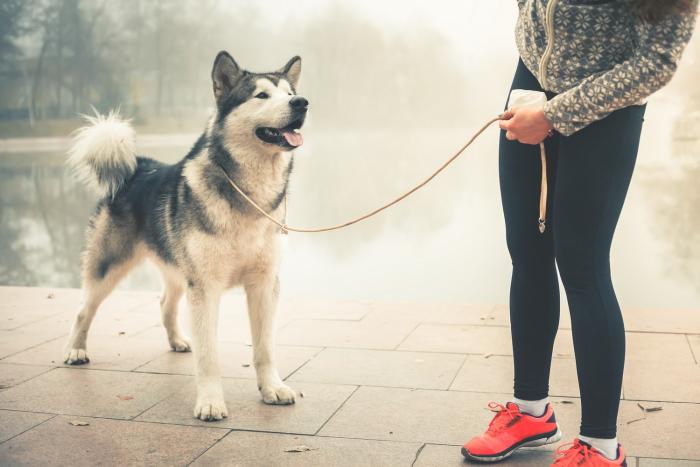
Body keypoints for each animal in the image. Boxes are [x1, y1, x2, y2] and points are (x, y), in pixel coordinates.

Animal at [65, 50, 306, 420]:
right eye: (262, 95)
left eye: (290, 92)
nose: (302, 103)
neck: (249, 196)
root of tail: (138, 165)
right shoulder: (205, 287)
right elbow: (209, 356)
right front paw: (210, 401)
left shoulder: (264, 284)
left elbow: (264, 347)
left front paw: (272, 388)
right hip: (108, 266)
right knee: (83, 309)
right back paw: (76, 350)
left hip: (177, 270)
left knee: (166, 303)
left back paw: (177, 341)